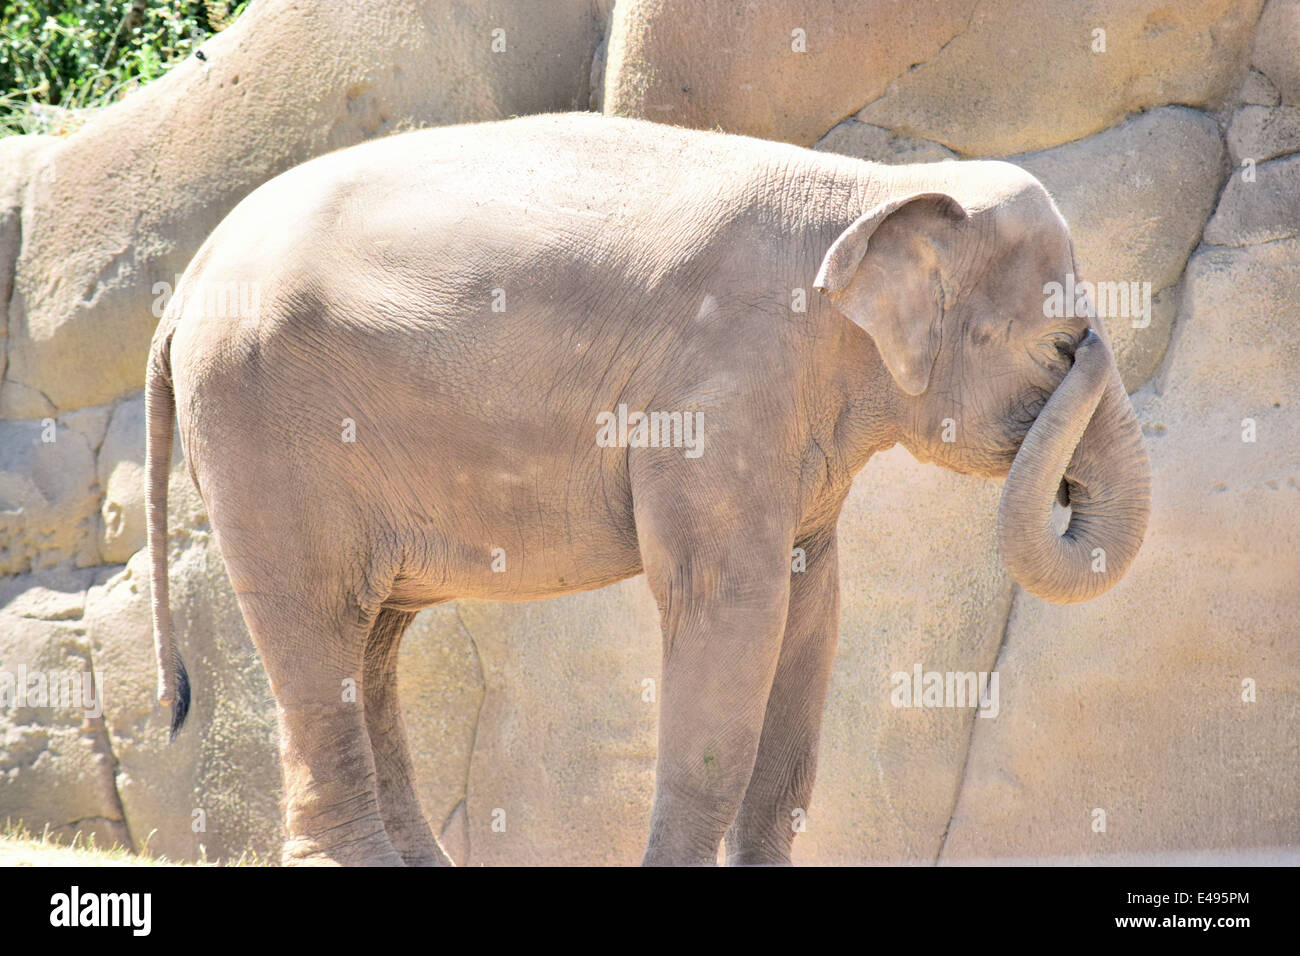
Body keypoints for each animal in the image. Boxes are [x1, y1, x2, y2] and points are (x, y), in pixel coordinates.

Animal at [144, 111, 1149, 868]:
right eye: (1061, 349)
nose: (1095, 341)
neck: (872, 189)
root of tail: (186, 284)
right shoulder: (716, 397)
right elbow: (727, 607)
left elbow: (809, 613)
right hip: (264, 426)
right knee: (319, 629)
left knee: (373, 642)